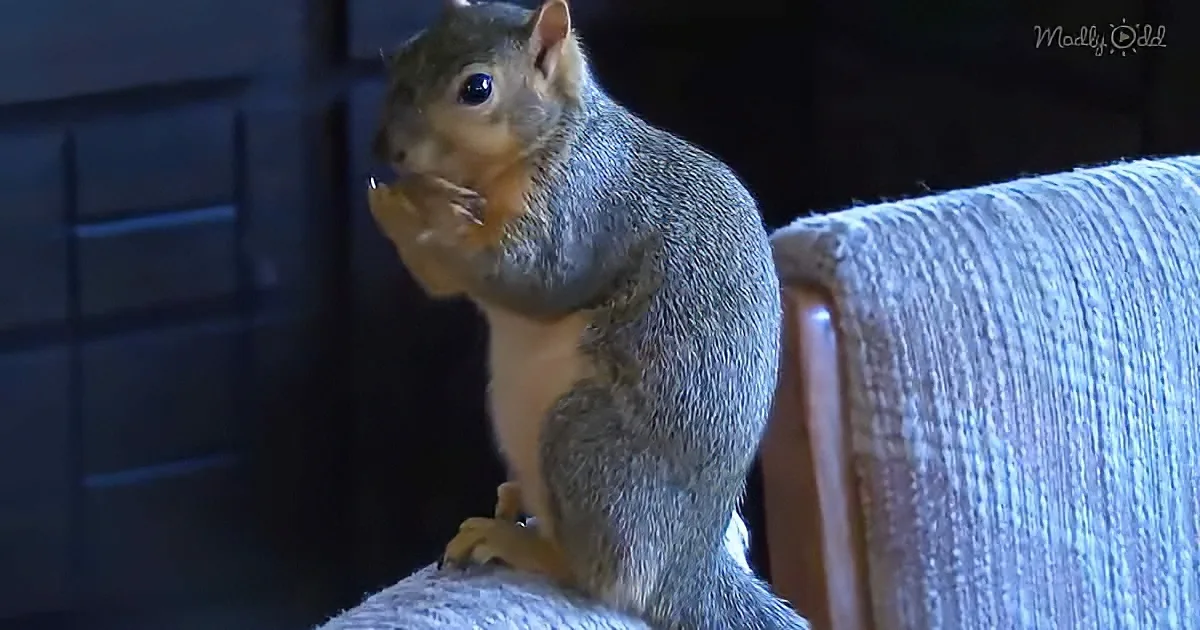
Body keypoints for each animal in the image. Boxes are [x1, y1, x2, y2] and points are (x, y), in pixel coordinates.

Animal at [367, 0, 808, 628]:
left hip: (588, 447)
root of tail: (688, 569)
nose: (388, 149)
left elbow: (535, 274)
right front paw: (403, 199)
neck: (555, 135)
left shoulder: (585, 204)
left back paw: (521, 545)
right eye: (405, 49)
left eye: (477, 88)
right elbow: (444, 281)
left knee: (604, 579)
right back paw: (514, 500)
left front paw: (420, 210)